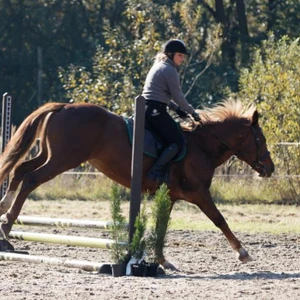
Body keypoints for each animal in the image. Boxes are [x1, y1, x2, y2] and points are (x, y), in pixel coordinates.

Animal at [0, 99, 274, 268]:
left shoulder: (170, 196)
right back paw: (7, 229)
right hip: (63, 159)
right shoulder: (199, 193)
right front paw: (242, 252)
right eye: (259, 139)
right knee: (30, 178)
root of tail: (64, 106)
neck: (203, 146)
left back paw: (4, 210)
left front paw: (163, 261)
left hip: (50, 155)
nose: (270, 169)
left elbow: (161, 227)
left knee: (19, 170)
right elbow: (219, 219)